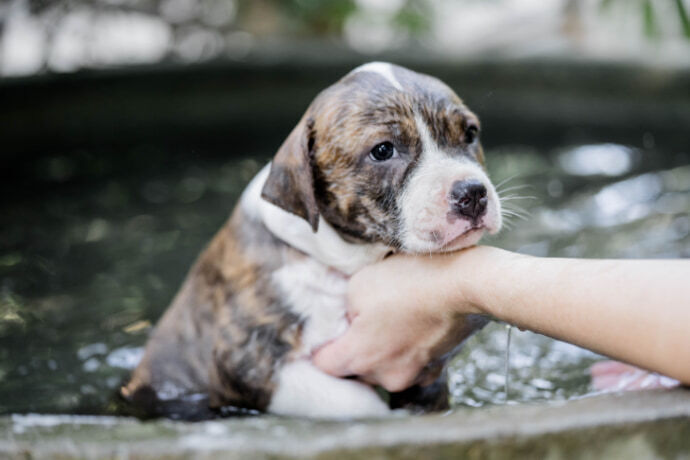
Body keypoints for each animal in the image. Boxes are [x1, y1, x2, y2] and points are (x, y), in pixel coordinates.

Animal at [122, 62, 500, 420]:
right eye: (382, 151)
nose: (471, 193)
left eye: (471, 133)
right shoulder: (248, 362)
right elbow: (356, 403)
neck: (342, 259)